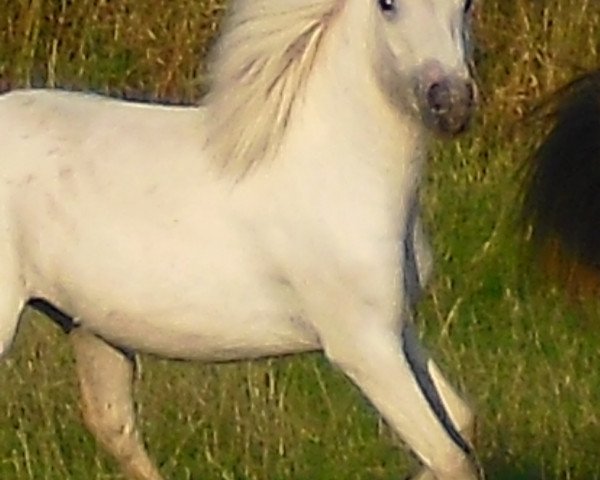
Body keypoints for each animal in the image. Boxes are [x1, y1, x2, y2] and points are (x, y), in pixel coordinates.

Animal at [0, 0, 478, 480]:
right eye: (387, 5)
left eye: (467, 5)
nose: (451, 103)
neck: (334, 167)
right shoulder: (362, 345)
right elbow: (450, 456)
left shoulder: (397, 329)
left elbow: (460, 423)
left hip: (90, 330)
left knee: (114, 426)